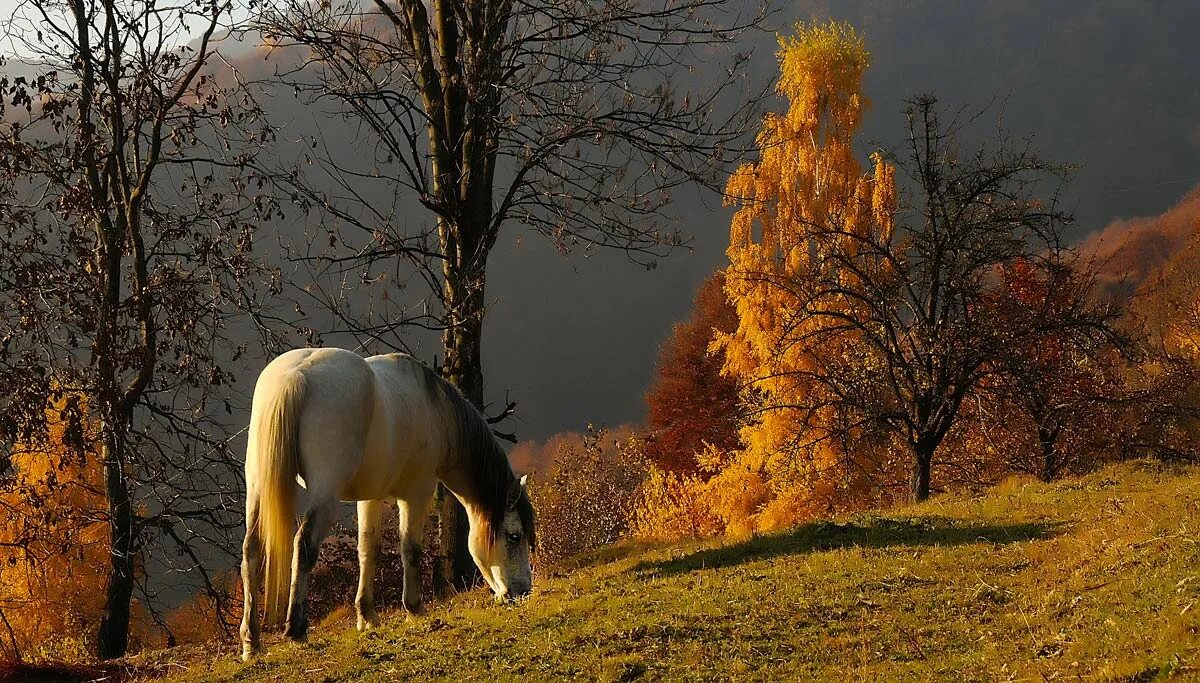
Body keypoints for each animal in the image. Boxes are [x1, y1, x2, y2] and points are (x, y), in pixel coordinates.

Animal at [237, 348, 535, 657]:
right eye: (514, 536)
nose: (523, 591)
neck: (438, 413)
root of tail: (295, 375)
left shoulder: (371, 497)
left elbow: (368, 549)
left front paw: (367, 616)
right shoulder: (416, 494)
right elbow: (411, 549)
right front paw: (415, 609)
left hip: (257, 487)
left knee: (252, 549)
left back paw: (252, 641)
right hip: (325, 496)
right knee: (304, 545)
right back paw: (296, 629)